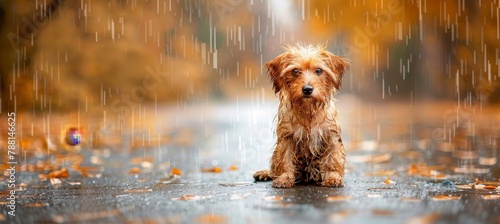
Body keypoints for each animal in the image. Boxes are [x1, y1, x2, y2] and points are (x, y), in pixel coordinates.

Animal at [254, 43, 348, 187]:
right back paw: (265, 173)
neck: (308, 111)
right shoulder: (287, 137)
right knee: (274, 166)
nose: (307, 89)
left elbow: (333, 158)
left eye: (319, 70)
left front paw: (333, 177)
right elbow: (284, 159)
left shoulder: (331, 136)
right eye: (295, 71)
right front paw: (284, 178)